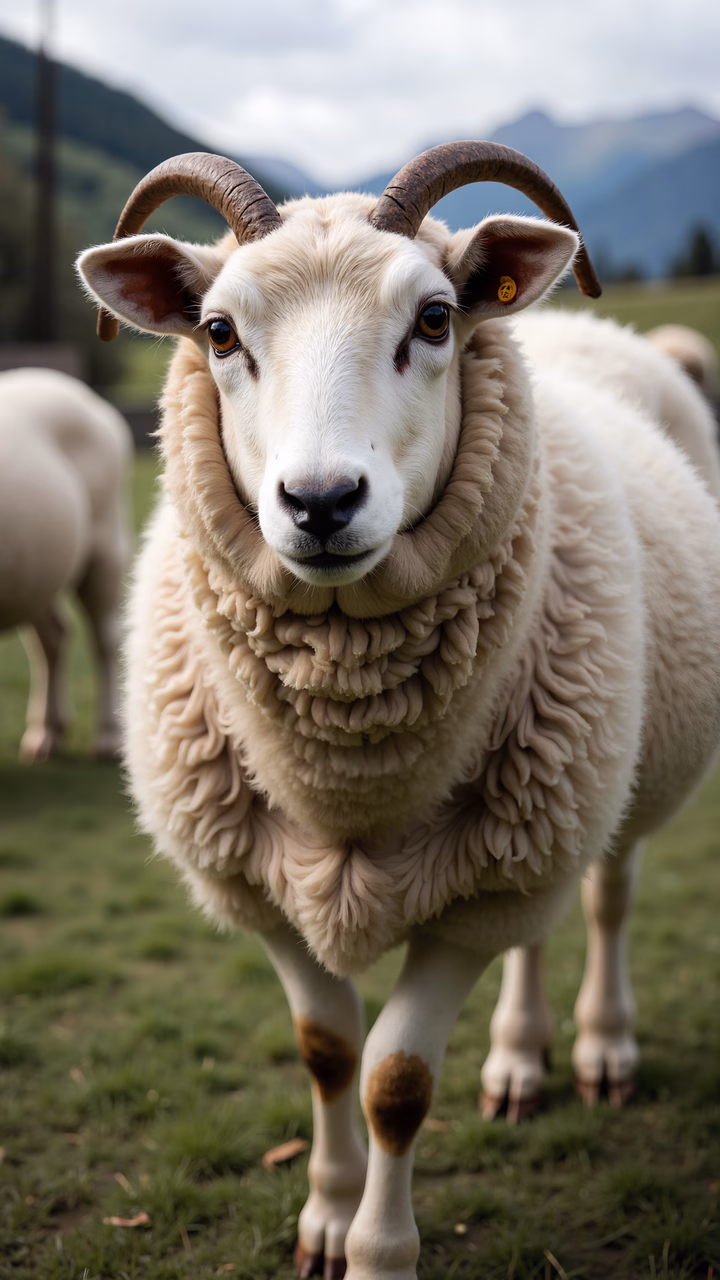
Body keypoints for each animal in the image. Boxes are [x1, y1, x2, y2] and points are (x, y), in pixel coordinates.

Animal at [0, 368, 132, 759]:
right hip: (36, 572)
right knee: (52, 636)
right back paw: (46, 733)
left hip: (105, 544)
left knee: (106, 638)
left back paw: (108, 738)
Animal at [77, 143, 720, 1280]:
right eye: (219, 332)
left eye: (433, 318)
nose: (322, 501)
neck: (348, 769)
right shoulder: (259, 880)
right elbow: (330, 1051)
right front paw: (326, 1220)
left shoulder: (474, 901)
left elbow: (395, 1083)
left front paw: (379, 1250)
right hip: (527, 829)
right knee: (538, 933)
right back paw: (518, 1060)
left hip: (593, 790)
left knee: (606, 899)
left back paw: (601, 1046)